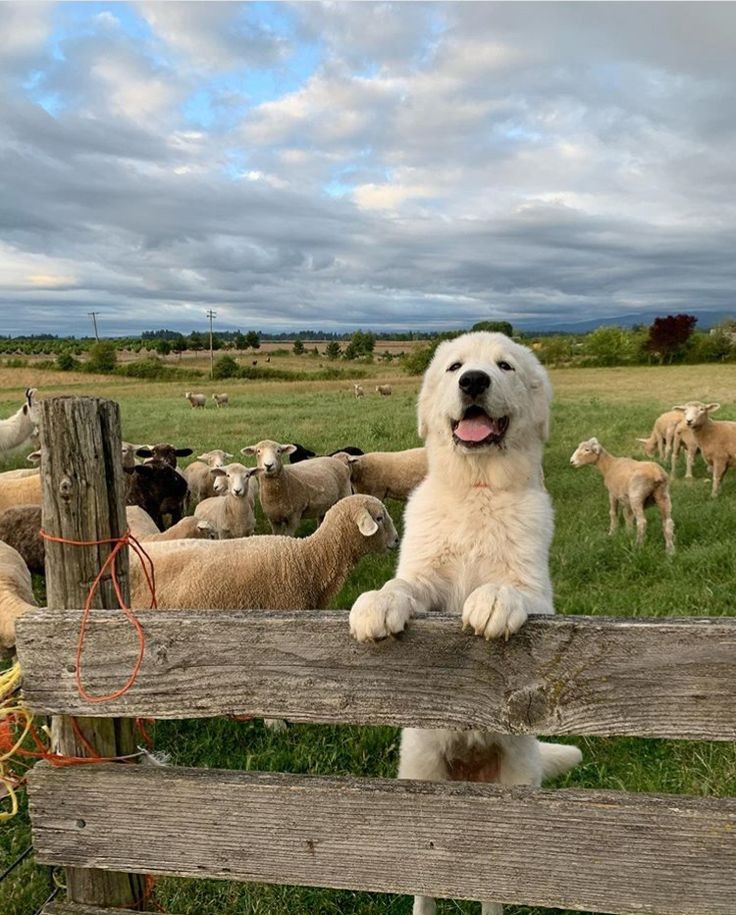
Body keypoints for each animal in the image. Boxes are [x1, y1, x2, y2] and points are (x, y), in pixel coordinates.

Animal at [348, 332, 584, 912]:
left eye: (504, 366)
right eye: (456, 366)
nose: (474, 381)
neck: (477, 491)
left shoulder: (540, 592)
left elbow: (515, 590)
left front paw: (492, 599)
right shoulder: (427, 577)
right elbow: (405, 585)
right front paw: (377, 603)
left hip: (512, 789)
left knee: (489, 889)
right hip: (421, 772)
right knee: (428, 884)